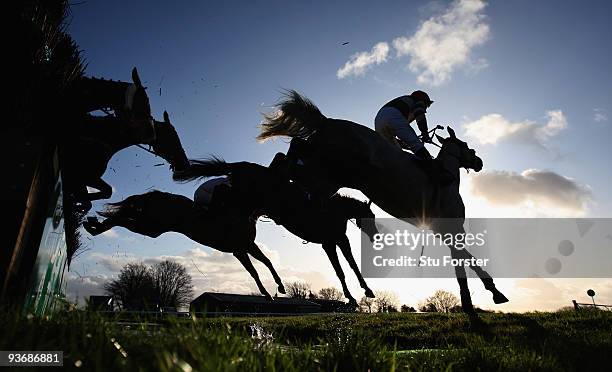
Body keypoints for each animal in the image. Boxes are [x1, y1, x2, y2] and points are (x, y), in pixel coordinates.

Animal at [172, 155, 380, 304]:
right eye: (371, 217)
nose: (376, 236)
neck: (335, 210)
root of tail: (240, 165)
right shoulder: (330, 242)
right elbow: (343, 269)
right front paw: (356, 295)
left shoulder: (337, 240)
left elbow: (349, 266)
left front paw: (361, 292)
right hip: (242, 196)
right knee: (222, 189)